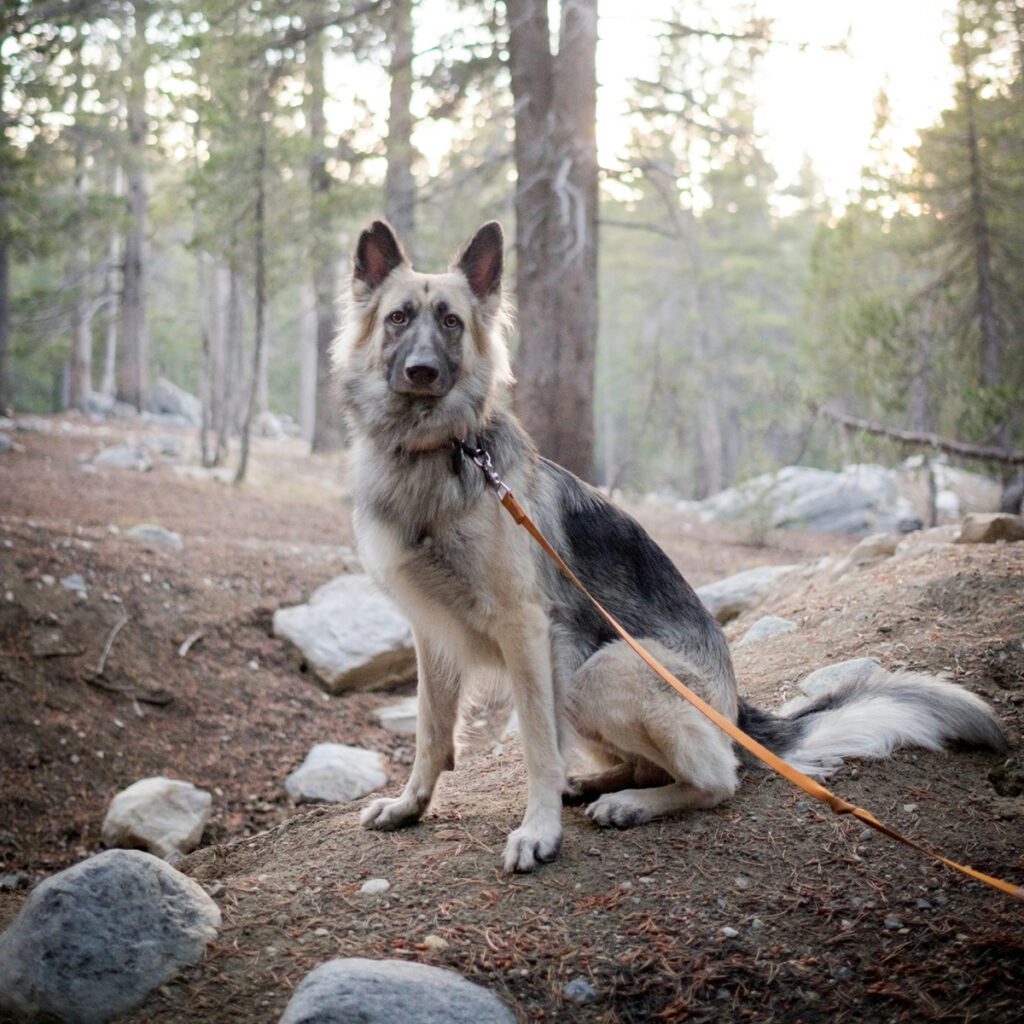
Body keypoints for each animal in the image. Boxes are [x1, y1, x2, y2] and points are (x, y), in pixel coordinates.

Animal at [335, 222, 1007, 872]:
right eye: (399, 318)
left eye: (451, 321)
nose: (422, 371)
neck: (437, 454)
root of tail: (737, 712)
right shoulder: (433, 632)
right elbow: (431, 732)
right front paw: (411, 805)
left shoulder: (526, 628)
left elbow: (537, 747)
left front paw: (538, 830)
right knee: (653, 762)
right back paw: (602, 784)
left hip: (595, 671)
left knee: (719, 777)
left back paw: (633, 803)